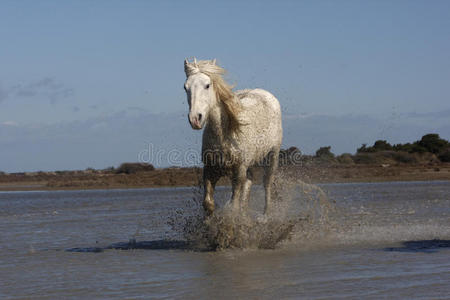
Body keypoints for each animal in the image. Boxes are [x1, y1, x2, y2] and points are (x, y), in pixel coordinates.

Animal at [183, 57, 282, 214]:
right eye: (185, 87)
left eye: (207, 85)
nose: (195, 119)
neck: (224, 136)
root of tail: (267, 94)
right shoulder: (210, 170)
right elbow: (208, 203)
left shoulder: (238, 171)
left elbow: (233, 205)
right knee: (249, 183)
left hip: (272, 156)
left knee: (267, 184)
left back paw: (265, 215)